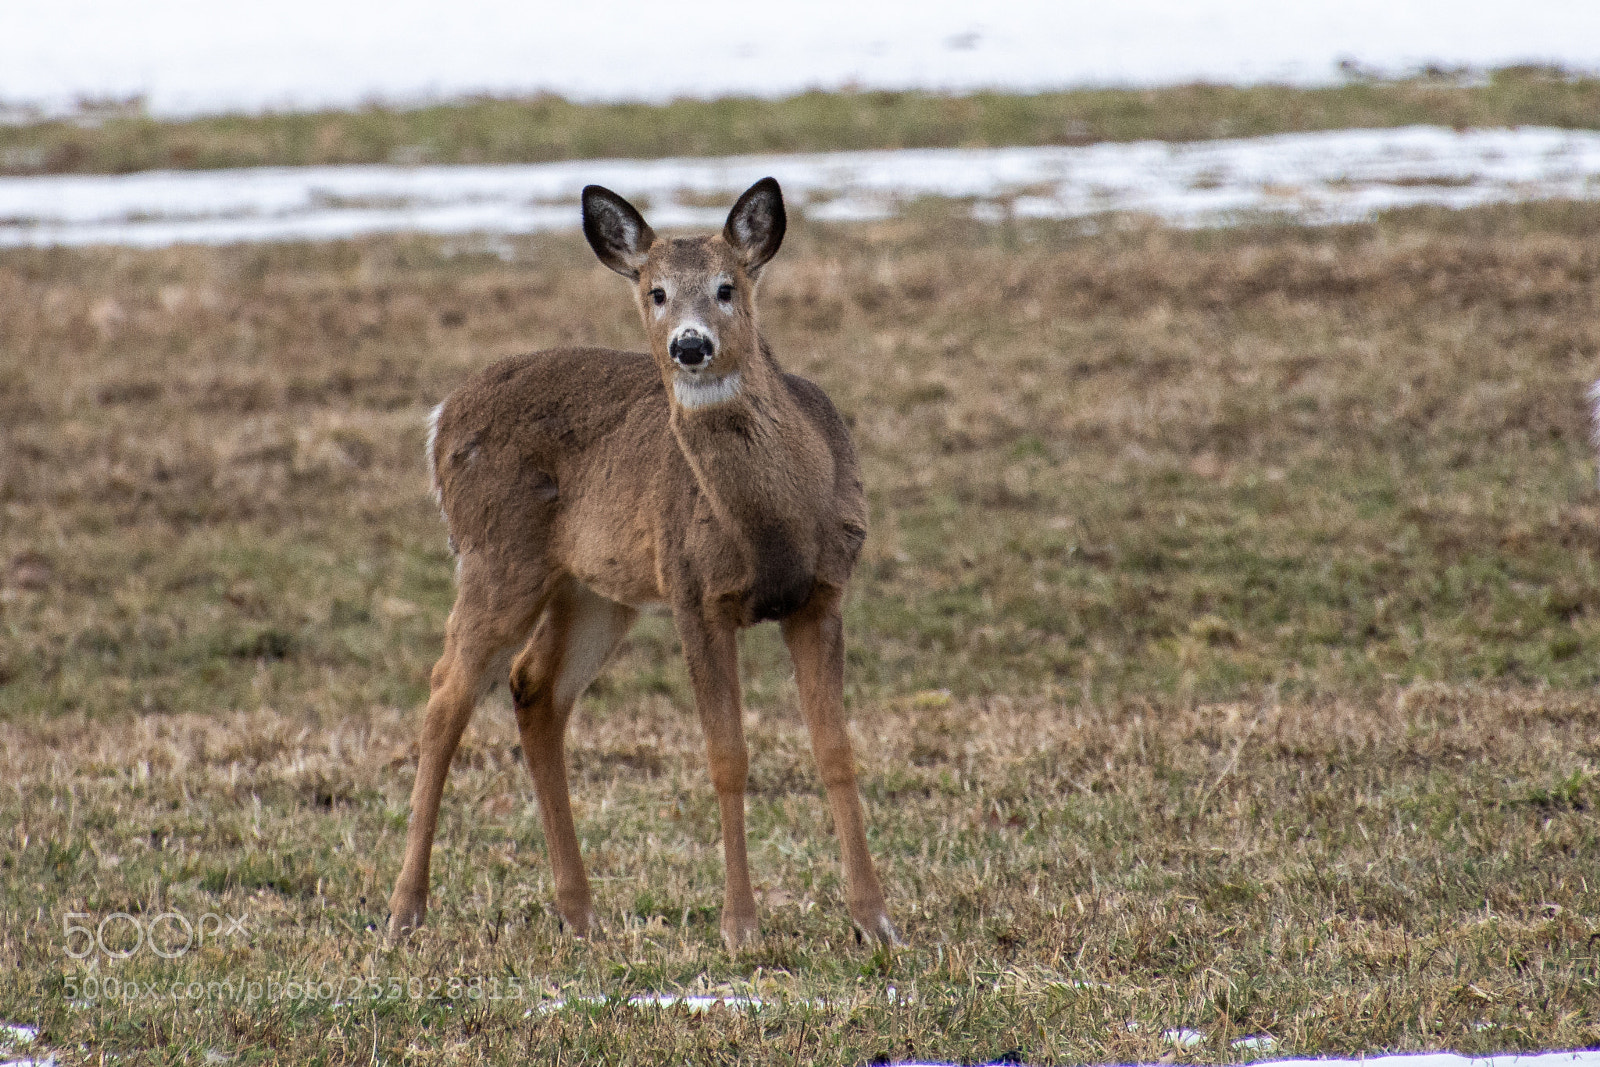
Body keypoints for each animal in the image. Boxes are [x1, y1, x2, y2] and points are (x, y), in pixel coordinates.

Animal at [386, 177, 901, 950]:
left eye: (726, 286)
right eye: (655, 292)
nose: (690, 344)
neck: (779, 524)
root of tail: (440, 418)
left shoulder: (824, 593)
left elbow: (836, 749)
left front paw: (875, 919)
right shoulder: (693, 594)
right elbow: (727, 757)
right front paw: (740, 925)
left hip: (596, 589)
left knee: (534, 686)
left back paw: (579, 911)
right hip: (497, 556)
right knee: (447, 691)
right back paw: (404, 909)